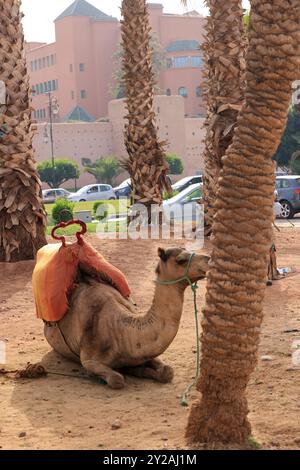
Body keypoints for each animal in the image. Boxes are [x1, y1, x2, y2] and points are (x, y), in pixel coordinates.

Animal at [44, 246, 209, 390]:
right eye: (180, 260)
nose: (208, 258)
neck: (121, 333)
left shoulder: (144, 353)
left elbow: (168, 372)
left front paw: (138, 370)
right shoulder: (89, 359)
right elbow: (116, 379)